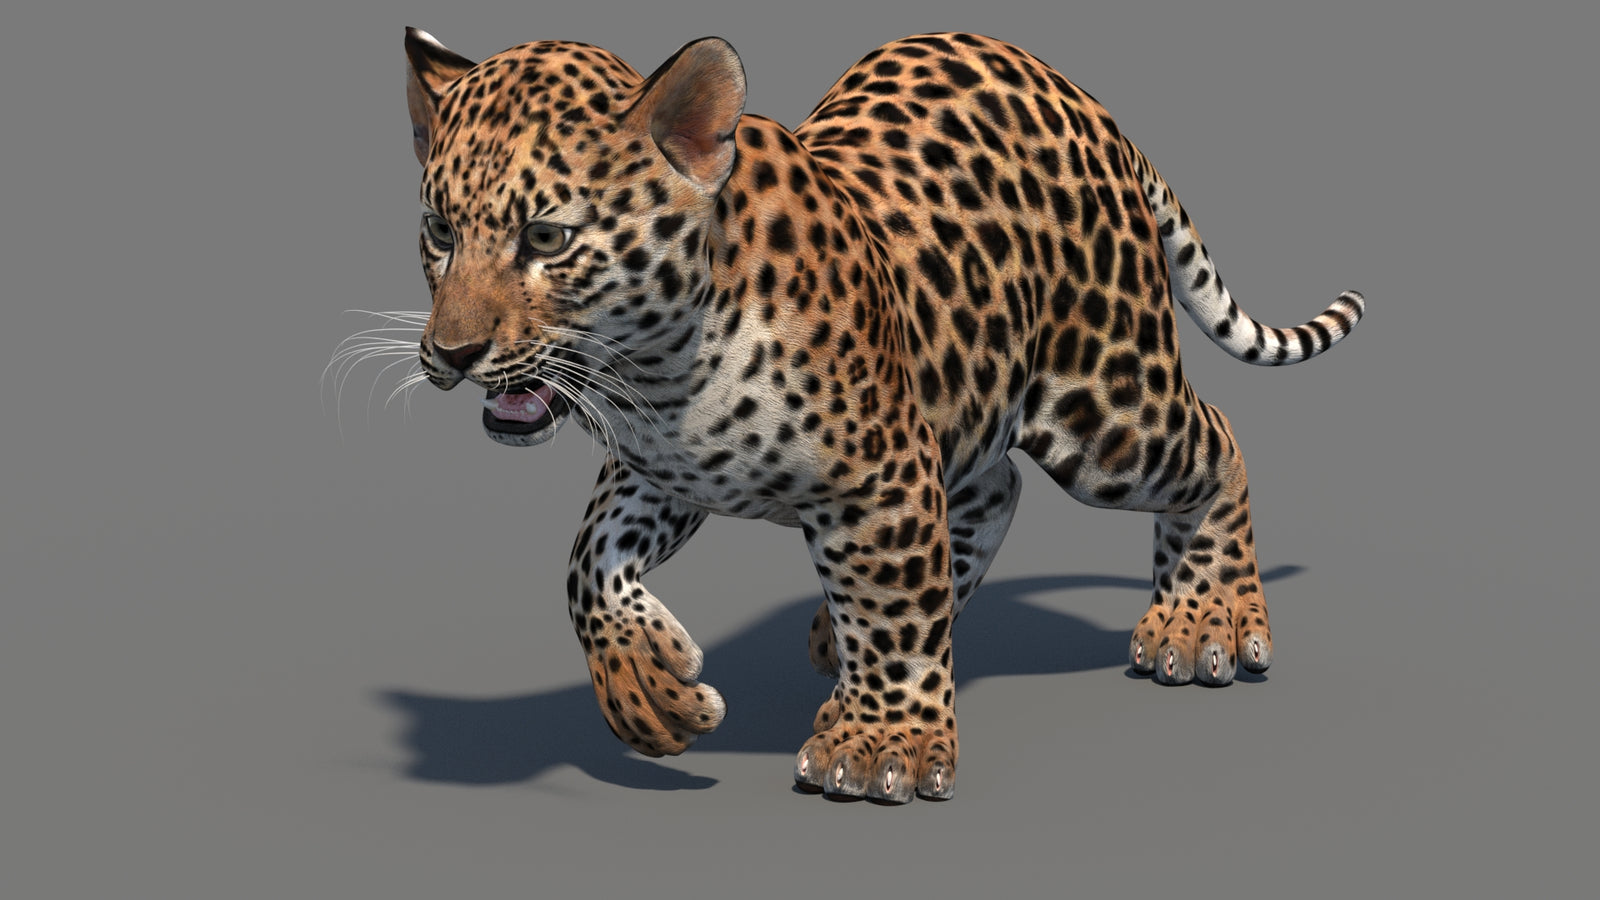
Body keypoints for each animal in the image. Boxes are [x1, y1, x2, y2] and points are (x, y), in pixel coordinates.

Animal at [396, 26, 1365, 803]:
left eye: (546, 238)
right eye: (439, 232)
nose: (450, 353)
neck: (660, 369)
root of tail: (1089, 105)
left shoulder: (880, 471)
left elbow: (896, 606)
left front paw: (880, 746)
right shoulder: (661, 470)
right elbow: (586, 562)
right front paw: (650, 693)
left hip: (1108, 409)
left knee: (1216, 439)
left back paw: (1207, 621)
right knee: (994, 490)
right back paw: (841, 636)